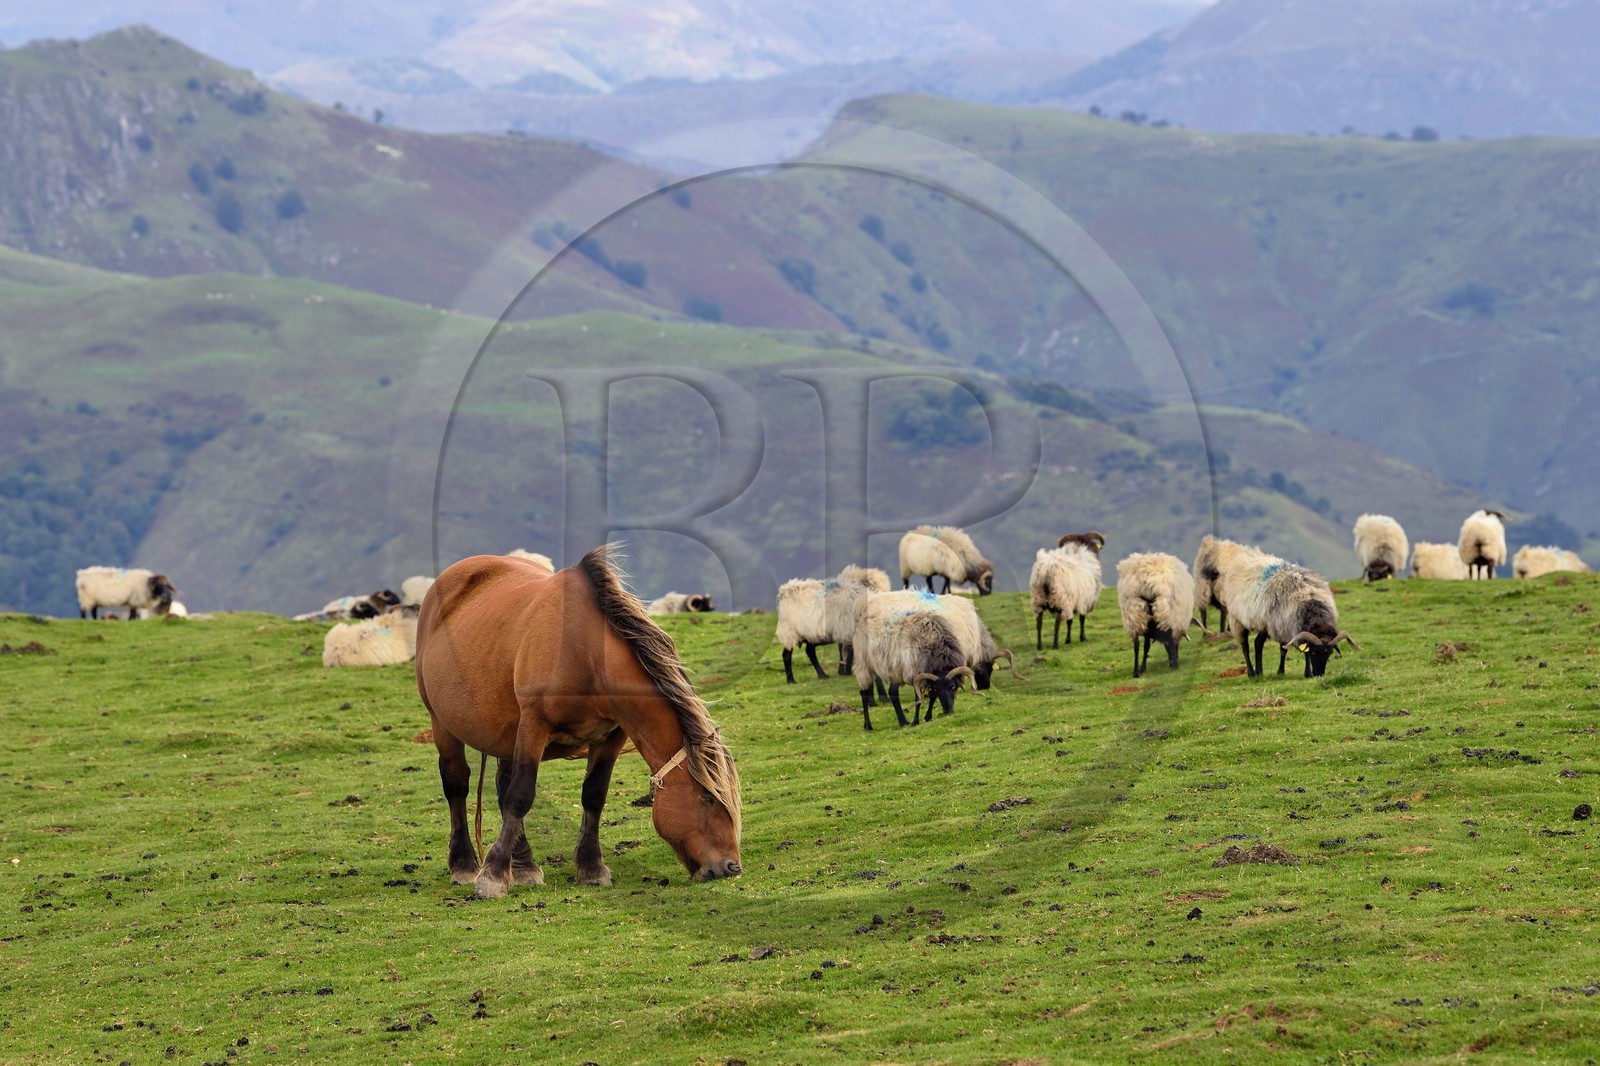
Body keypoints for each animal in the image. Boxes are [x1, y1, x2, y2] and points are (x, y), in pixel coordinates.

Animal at [414, 545, 742, 898]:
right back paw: (464, 865)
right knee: (457, 784)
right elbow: (520, 796)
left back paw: (525, 866)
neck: (585, 654)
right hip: (442, 723)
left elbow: (593, 795)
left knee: (502, 786)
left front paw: (591, 868)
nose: (731, 867)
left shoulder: (612, 735)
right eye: (707, 798)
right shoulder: (534, 725)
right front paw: (493, 876)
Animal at [850, 590, 975, 730]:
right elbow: (918, 700)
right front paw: (916, 721)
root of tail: (862, 612)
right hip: (864, 664)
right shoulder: (916, 673)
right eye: (939, 689)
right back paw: (868, 725)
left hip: (894, 669)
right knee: (864, 693)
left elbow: (931, 697)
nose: (948, 710)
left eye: (953, 687)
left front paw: (927, 717)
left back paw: (903, 721)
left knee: (892, 692)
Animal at [1221, 553, 1358, 678]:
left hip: (1265, 624)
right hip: (1237, 620)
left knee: (1258, 643)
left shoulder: (1286, 628)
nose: (1319, 674)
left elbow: (1284, 650)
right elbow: (1295, 650)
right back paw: (1251, 673)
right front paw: (1304, 673)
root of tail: (1242, 559)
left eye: (1329, 653)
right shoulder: (1285, 627)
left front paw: (1285, 672)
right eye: (1314, 653)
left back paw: (1260, 672)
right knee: (1246, 646)